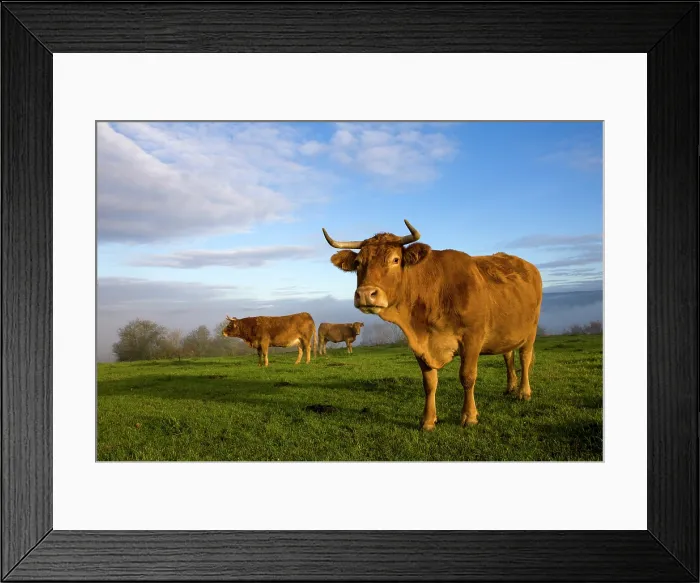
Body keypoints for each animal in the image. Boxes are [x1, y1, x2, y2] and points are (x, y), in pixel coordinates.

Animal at [322, 219, 543, 431]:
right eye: (358, 262)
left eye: (395, 259)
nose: (366, 294)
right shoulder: (419, 344)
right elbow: (429, 383)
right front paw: (428, 420)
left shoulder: (473, 338)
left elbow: (467, 377)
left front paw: (469, 416)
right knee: (508, 355)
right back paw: (510, 387)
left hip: (531, 329)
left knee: (524, 357)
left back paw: (523, 392)